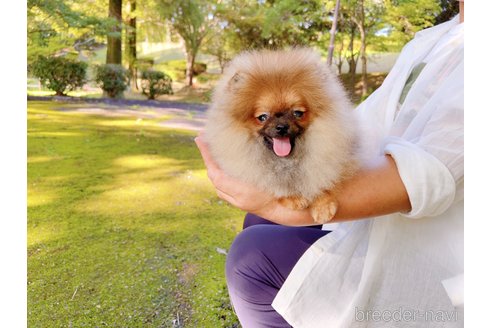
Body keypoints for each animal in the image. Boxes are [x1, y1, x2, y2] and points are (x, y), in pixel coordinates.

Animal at [205, 48, 362, 223]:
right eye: (263, 117)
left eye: (297, 113)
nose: (281, 127)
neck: (286, 161)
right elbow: (276, 185)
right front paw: (293, 198)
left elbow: (323, 179)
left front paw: (323, 205)